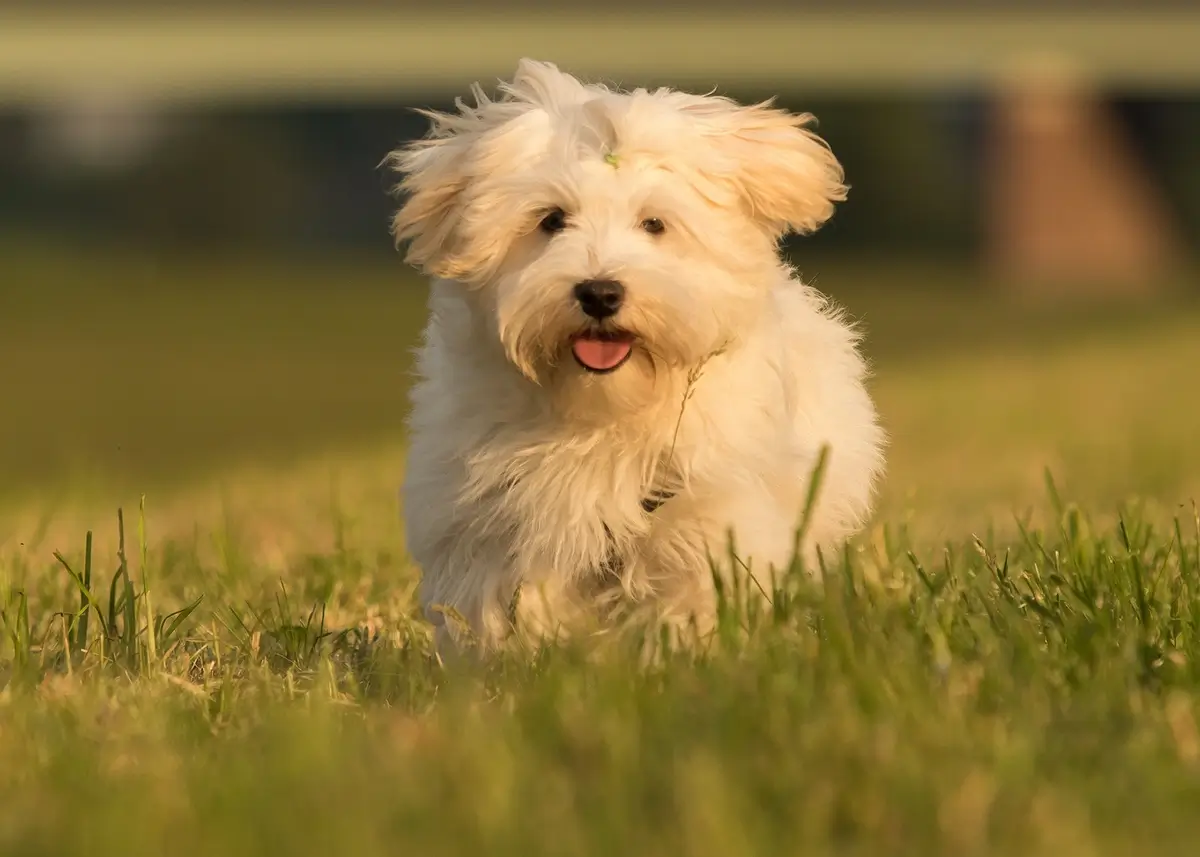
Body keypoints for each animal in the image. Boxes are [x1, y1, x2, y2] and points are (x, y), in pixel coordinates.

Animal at [388, 58, 888, 648]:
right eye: (551, 219)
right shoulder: (486, 519)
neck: (606, 410)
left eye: (654, 224)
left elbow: (697, 593)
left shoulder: (710, 514)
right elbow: (498, 600)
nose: (600, 292)